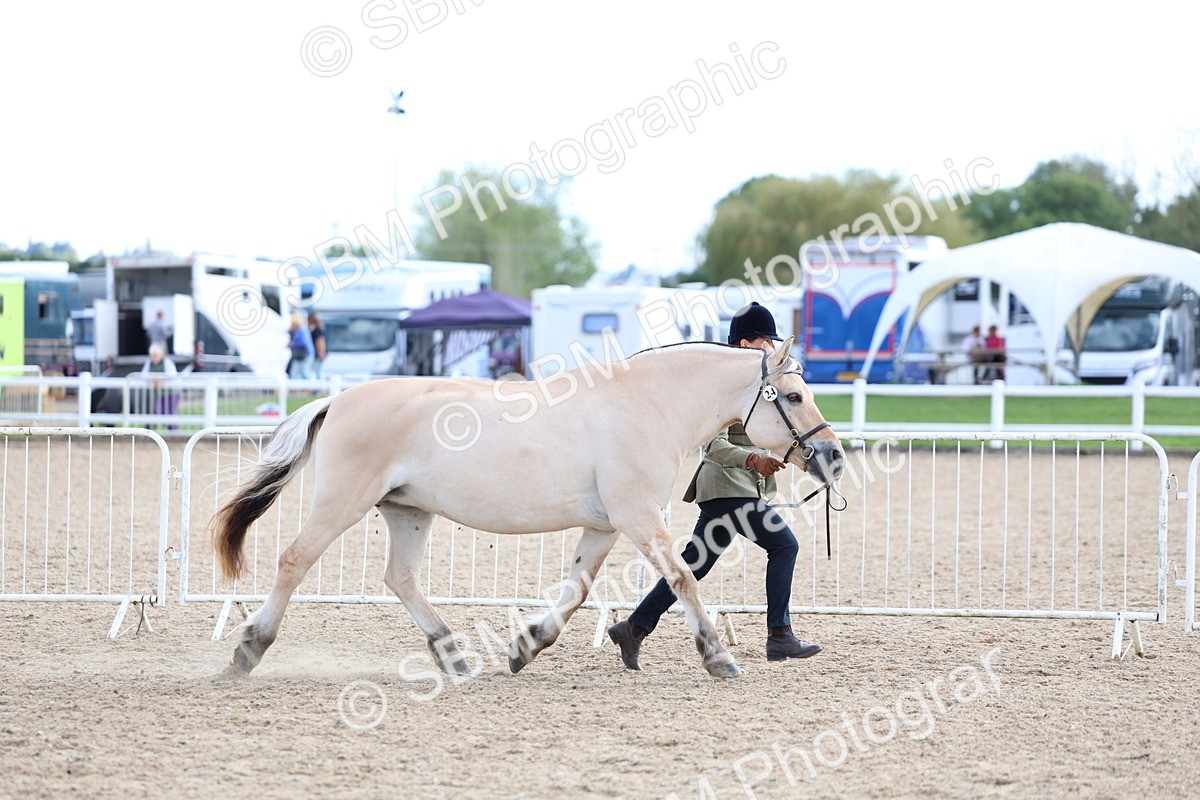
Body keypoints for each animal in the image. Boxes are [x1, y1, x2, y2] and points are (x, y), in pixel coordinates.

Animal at [210, 336, 845, 679]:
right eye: (793, 396)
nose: (833, 457)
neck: (645, 404)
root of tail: (338, 399)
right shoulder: (639, 518)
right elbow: (683, 579)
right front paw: (718, 658)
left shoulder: (605, 527)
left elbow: (577, 593)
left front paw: (525, 647)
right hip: (343, 503)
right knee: (294, 561)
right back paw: (246, 651)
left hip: (407, 512)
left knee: (401, 578)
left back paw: (454, 656)